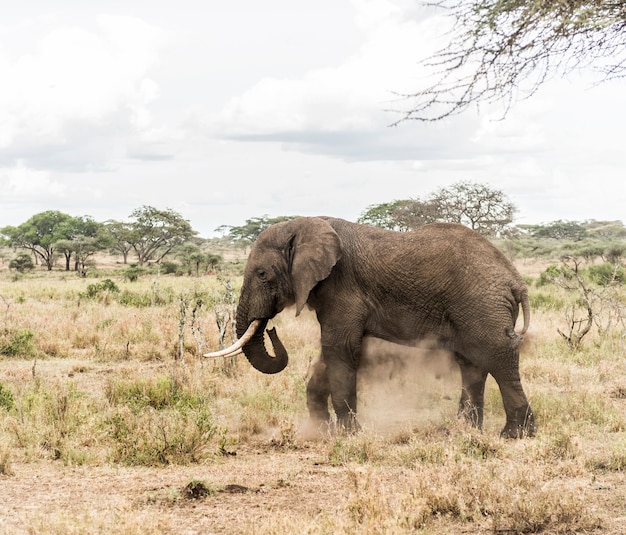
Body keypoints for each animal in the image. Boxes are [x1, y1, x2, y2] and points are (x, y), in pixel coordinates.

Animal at [206, 216, 536, 438]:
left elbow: (339, 348)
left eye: (262, 274)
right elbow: (330, 353)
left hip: (483, 305)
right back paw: (464, 430)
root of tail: (515, 280)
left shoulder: (342, 286)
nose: (272, 330)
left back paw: (514, 434)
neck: (306, 224)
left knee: (498, 357)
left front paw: (348, 434)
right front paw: (319, 431)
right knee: (472, 364)